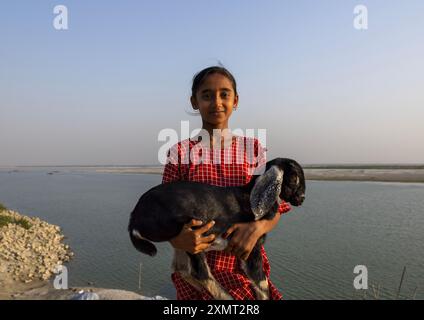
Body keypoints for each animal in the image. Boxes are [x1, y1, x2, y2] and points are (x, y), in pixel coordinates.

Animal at [127, 158, 306, 300]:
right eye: (294, 178)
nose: (302, 199)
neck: (249, 195)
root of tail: (135, 217)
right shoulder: (253, 248)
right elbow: (262, 283)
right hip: (193, 234)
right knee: (200, 272)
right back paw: (226, 297)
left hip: (182, 241)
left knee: (181, 268)